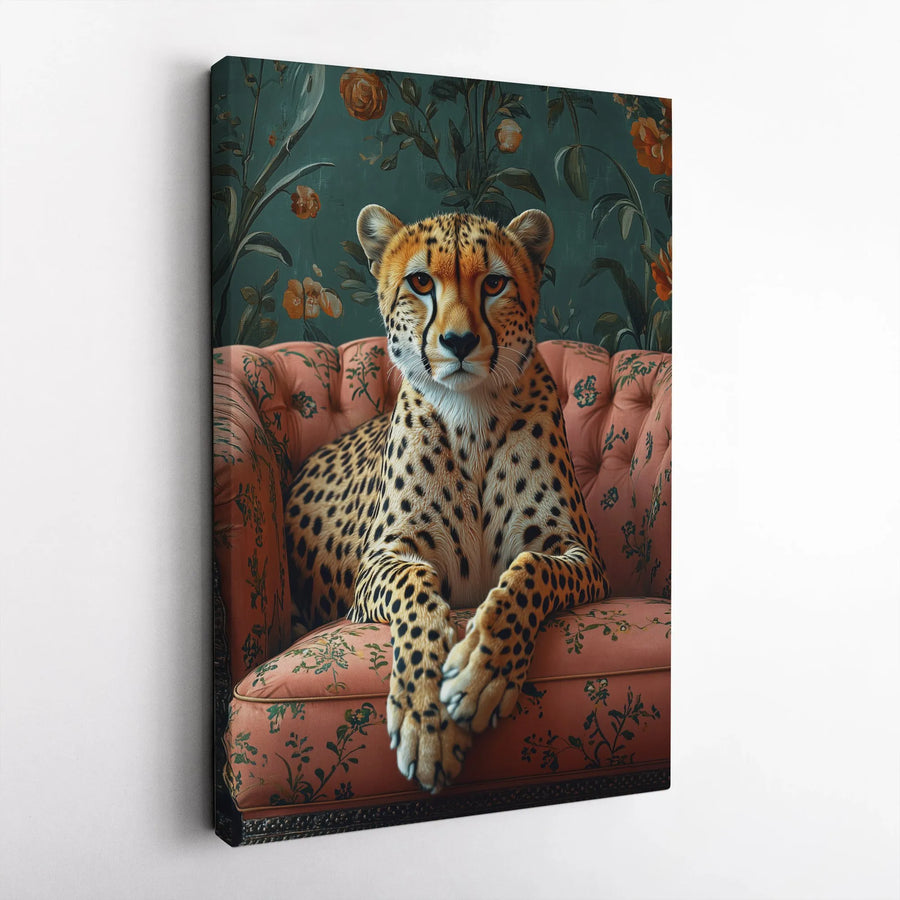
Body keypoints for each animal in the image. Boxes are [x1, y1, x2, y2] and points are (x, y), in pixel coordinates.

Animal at [284, 204, 609, 793]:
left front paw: (481, 671)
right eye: (420, 282)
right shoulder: (381, 562)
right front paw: (424, 716)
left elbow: (528, 571)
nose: (458, 341)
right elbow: (417, 589)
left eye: (495, 284)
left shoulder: (580, 555)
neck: (472, 413)